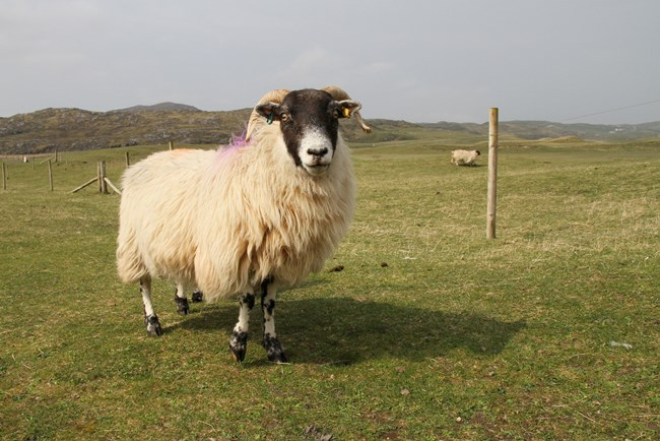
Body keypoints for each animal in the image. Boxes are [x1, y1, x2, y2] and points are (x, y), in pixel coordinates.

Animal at [116, 86, 368, 360]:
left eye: (334, 115)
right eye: (285, 116)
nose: (318, 153)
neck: (259, 170)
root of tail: (145, 161)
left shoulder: (276, 256)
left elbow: (269, 303)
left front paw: (273, 347)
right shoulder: (243, 251)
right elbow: (247, 300)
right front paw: (238, 344)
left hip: (180, 239)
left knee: (180, 272)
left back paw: (182, 303)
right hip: (134, 243)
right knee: (144, 285)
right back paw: (153, 323)